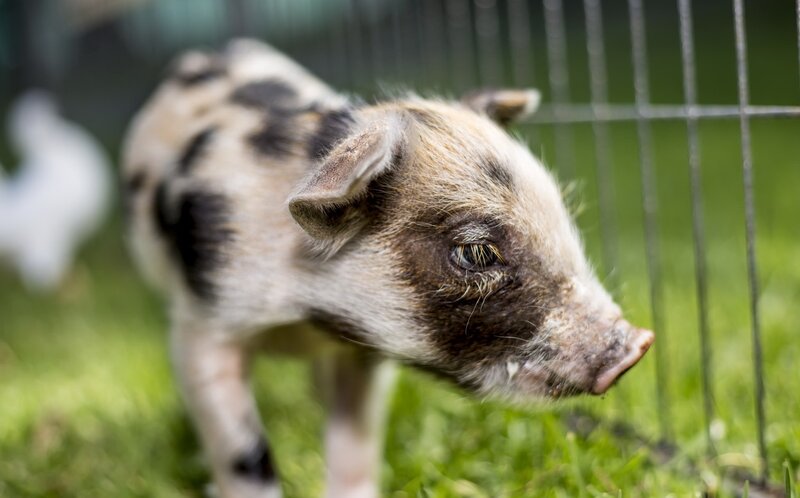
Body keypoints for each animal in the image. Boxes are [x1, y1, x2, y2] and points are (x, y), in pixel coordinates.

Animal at [122, 39, 653, 498]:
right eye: (476, 253)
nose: (638, 345)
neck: (303, 314)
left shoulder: (360, 355)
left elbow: (354, 441)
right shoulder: (202, 327)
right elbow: (242, 451)